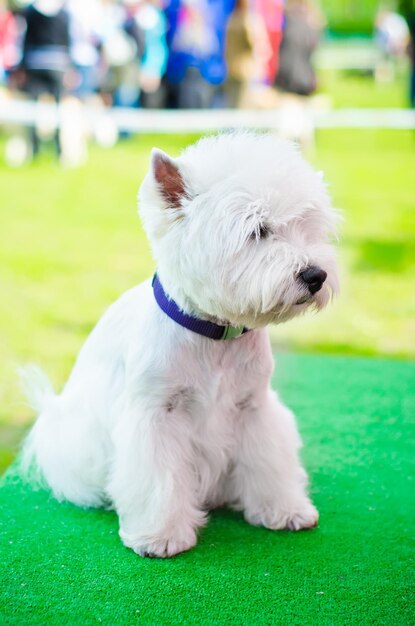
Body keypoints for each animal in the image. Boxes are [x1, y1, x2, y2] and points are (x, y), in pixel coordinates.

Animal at [22, 130, 338, 556]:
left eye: (307, 224)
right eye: (257, 229)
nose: (316, 275)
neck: (215, 335)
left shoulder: (253, 407)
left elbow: (269, 460)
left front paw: (284, 509)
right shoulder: (156, 414)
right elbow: (158, 478)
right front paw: (160, 535)